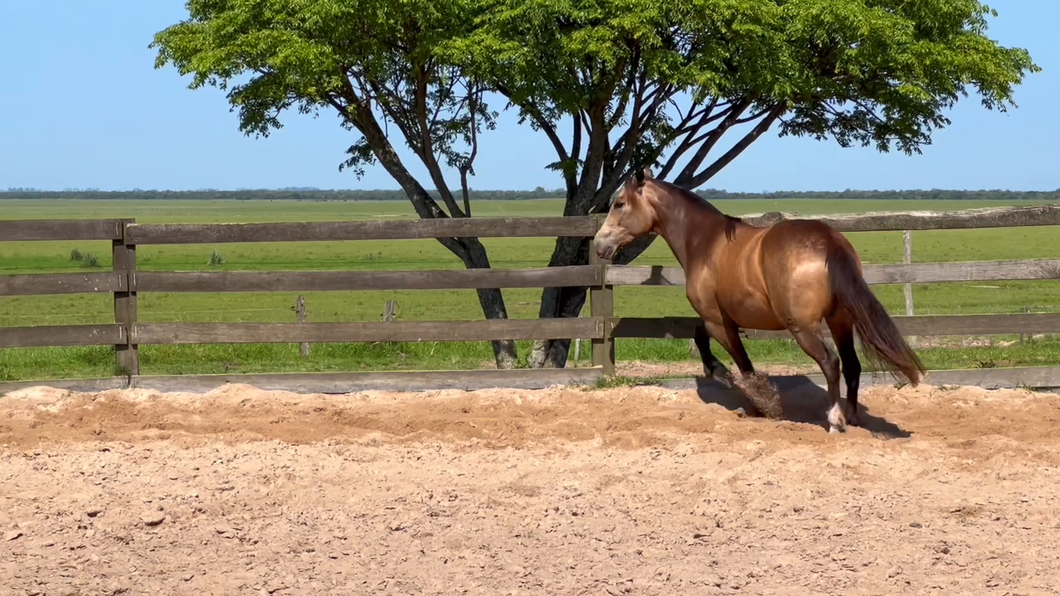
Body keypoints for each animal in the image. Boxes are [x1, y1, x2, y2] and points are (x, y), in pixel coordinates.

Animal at [593, 167, 924, 430]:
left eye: (619, 203)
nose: (599, 244)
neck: (705, 242)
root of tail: (828, 240)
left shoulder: (718, 321)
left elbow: (743, 365)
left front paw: (752, 399)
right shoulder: (723, 318)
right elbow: (700, 337)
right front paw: (722, 375)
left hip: (803, 327)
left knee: (831, 363)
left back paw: (835, 420)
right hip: (840, 320)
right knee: (852, 365)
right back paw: (853, 417)